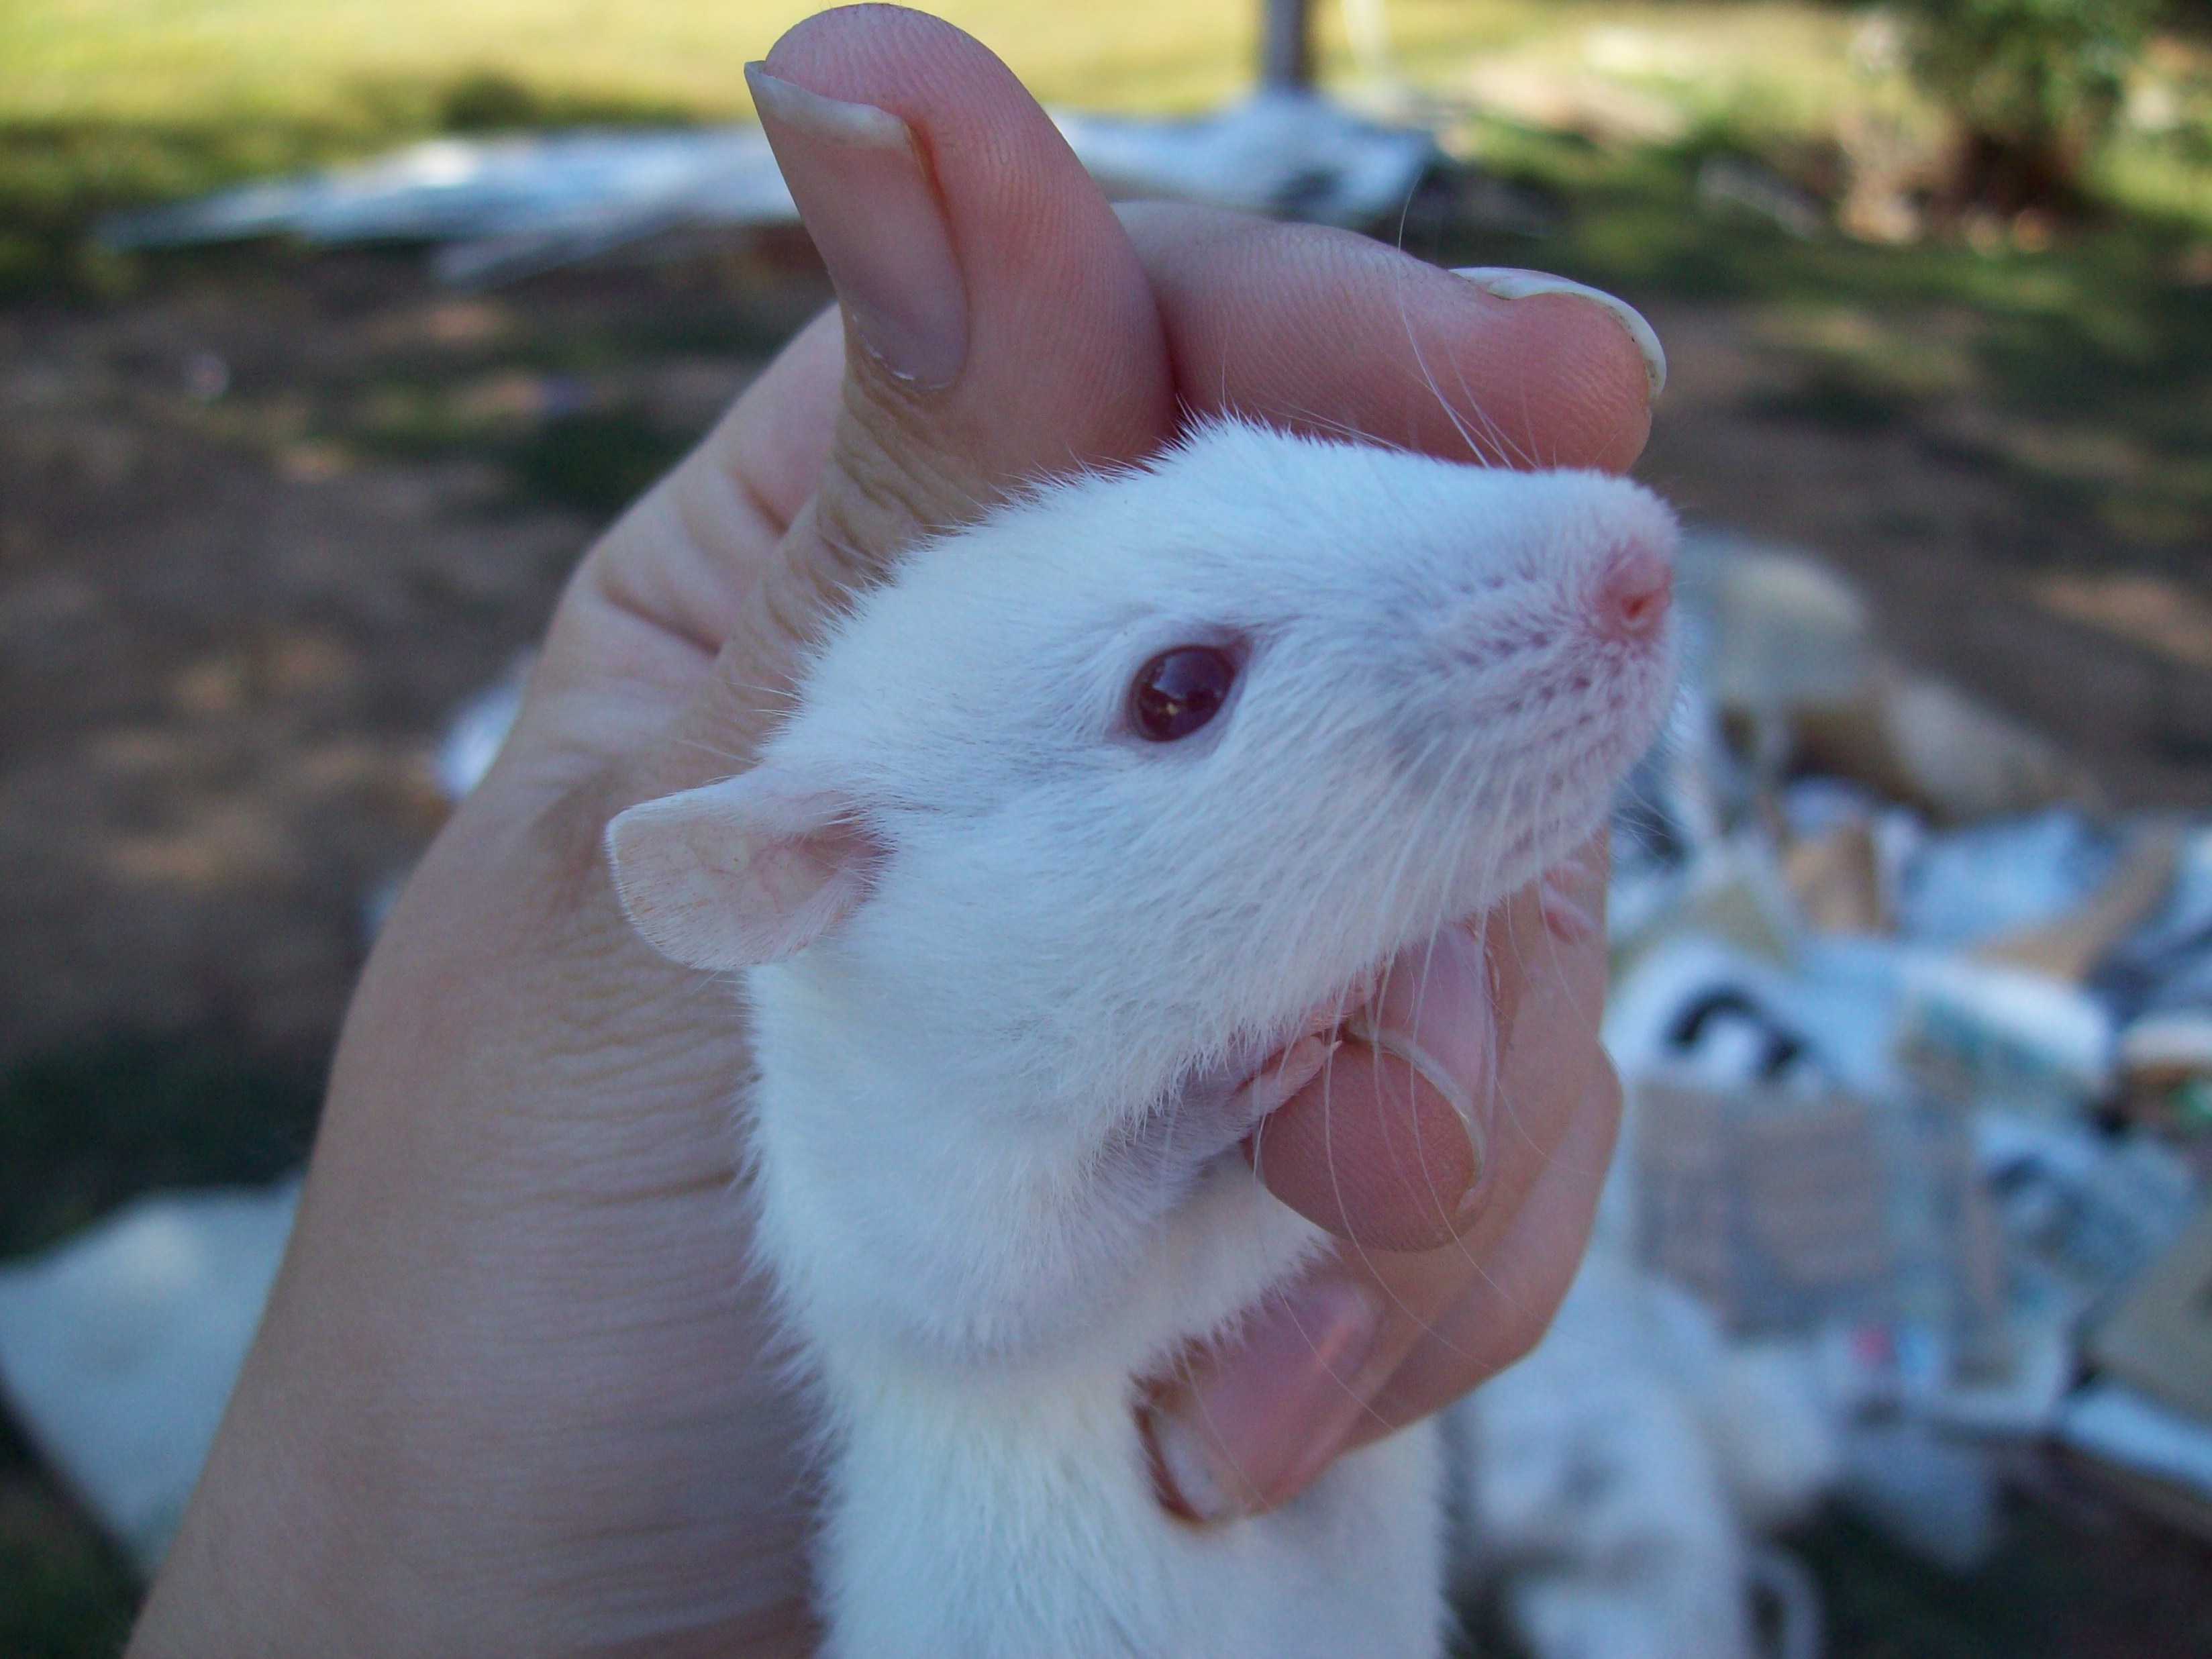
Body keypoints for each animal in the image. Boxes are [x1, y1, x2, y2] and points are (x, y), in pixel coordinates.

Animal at [607, 419, 1679, 1659]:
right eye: (1177, 691)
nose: (1646, 561)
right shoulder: (903, 1209)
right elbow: (1022, 1287)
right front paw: (1219, 1096)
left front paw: (1551, 901)